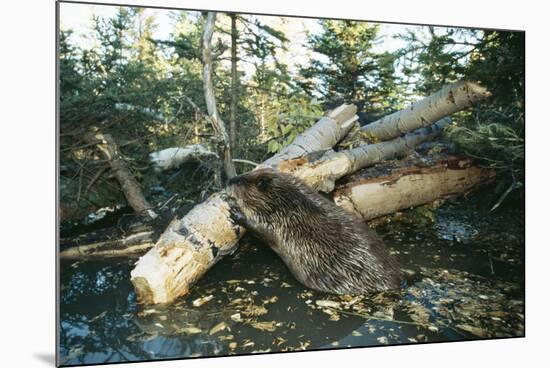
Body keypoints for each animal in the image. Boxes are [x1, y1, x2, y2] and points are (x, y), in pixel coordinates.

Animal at [226, 168, 404, 294]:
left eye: (241, 182)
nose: (229, 180)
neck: (289, 204)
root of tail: (400, 280)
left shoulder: (278, 223)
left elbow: (260, 229)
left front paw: (234, 211)